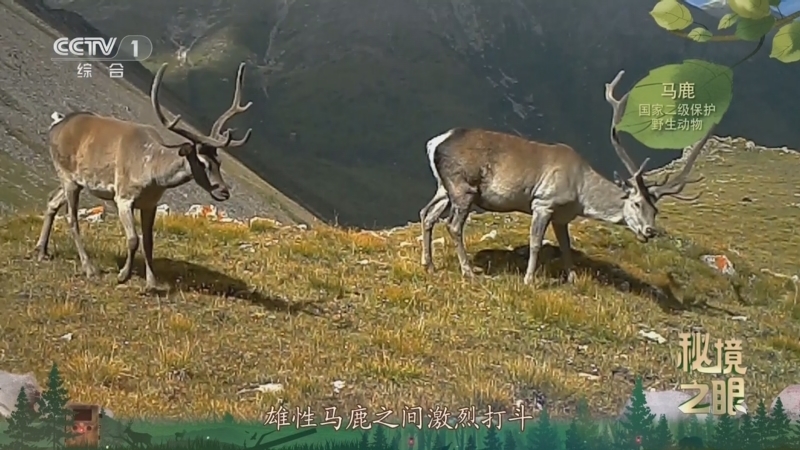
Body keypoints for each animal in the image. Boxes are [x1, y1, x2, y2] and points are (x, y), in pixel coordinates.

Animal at [34, 62, 253, 292]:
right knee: (72, 218)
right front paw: (123, 275)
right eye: (202, 162)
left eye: (219, 162)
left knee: (52, 201)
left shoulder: (151, 204)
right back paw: (90, 269)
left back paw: (41, 250)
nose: (224, 191)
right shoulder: (123, 197)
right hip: (66, 174)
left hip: (74, 180)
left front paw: (151, 283)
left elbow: (149, 241)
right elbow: (133, 239)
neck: (152, 174)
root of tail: (55, 125)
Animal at [419, 69, 713, 286]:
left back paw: (429, 264)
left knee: (427, 214)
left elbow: (566, 246)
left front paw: (572, 278)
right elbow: (536, 243)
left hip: (443, 188)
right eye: (636, 203)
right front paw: (529, 280)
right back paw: (468, 271)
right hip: (463, 187)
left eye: (656, 211)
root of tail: (435, 142)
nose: (650, 231)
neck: (580, 195)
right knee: (453, 225)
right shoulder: (544, 202)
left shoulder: (563, 216)